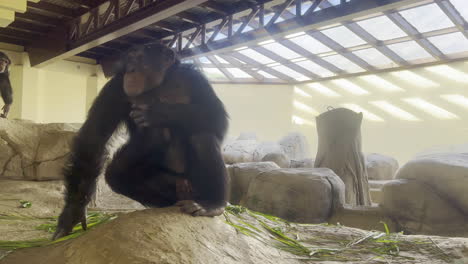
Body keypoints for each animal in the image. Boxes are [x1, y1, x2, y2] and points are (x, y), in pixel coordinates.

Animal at [52, 42, 229, 240]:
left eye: (139, 58)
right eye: (129, 59)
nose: (130, 69)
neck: (159, 85)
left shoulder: (194, 79)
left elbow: (216, 117)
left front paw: (159, 111)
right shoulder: (115, 88)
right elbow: (94, 138)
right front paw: (72, 213)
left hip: (195, 182)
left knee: (203, 137)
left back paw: (212, 204)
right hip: (175, 183)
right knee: (116, 172)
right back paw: (170, 202)